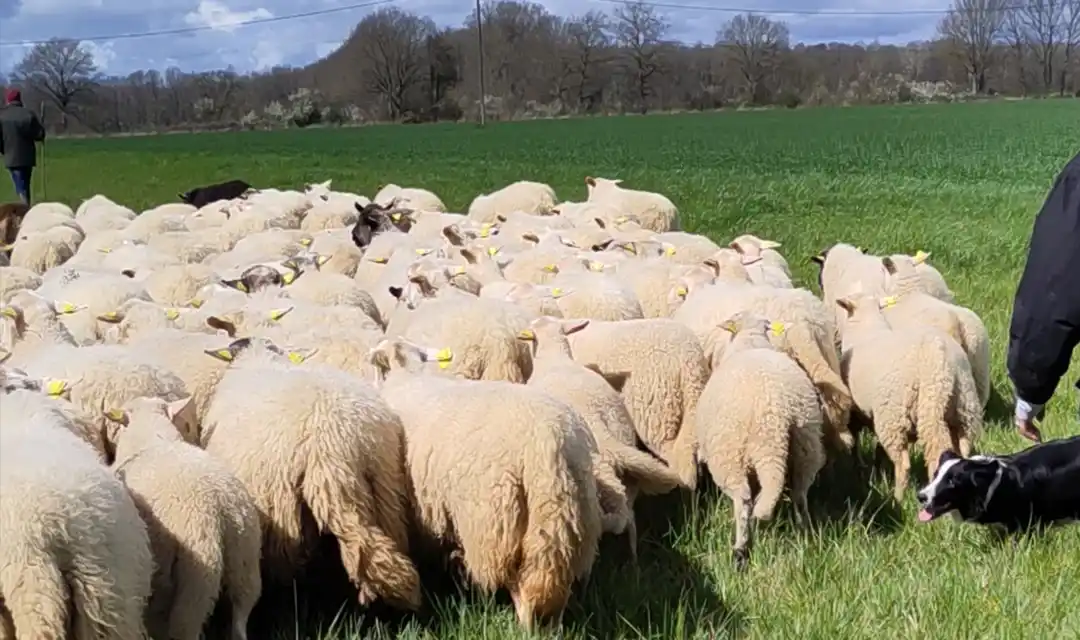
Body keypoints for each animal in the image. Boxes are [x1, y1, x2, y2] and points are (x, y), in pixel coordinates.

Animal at [107, 396, 262, 640]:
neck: (152, 439)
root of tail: (219, 508)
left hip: (197, 573)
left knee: (185, 625)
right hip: (246, 554)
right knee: (242, 611)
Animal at [370, 338, 601, 629]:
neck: (407, 375)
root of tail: (547, 445)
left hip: (497, 522)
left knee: (522, 588)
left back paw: (525, 629)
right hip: (567, 516)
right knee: (556, 583)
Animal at [519, 316, 684, 560]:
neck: (554, 356)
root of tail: (604, 435)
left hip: (598, 471)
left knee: (619, 515)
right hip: (625, 464)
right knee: (629, 514)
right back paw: (633, 559)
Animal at [695, 312, 826, 569]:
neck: (751, 339)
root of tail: (776, 417)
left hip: (730, 456)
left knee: (743, 500)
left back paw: (740, 551)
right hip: (805, 446)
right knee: (799, 493)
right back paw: (805, 534)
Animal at [836, 293, 981, 501]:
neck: (867, 328)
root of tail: (941, 358)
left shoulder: (856, 412)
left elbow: (855, 441)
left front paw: (860, 468)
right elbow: (877, 448)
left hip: (908, 414)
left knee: (909, 462)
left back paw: (899, 497)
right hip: (964, 408)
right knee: (963, 450)